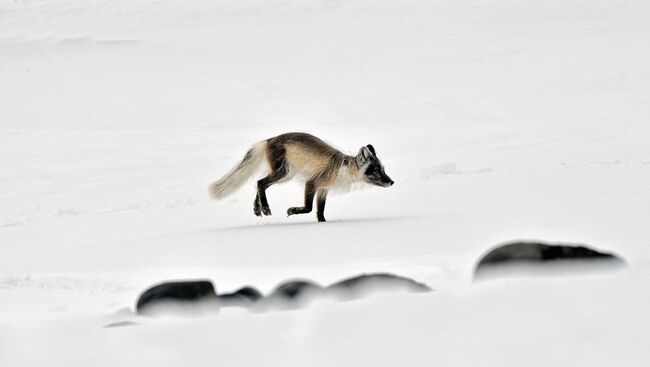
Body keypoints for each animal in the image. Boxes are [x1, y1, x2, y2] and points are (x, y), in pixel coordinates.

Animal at [209, 134, 390, 223]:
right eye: (376, 170)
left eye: (383, 169)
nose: (391, 181)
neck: (341, 169)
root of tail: (268, 140)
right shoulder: (312, 183)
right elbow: (309, 208)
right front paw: (293, 211)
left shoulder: (324, 189)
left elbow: (320, 211)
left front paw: (323, 224)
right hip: (282, 172)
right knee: (260, 182)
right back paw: (265, 208)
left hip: (285, 175)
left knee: (261, 184)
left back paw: (257, 208)